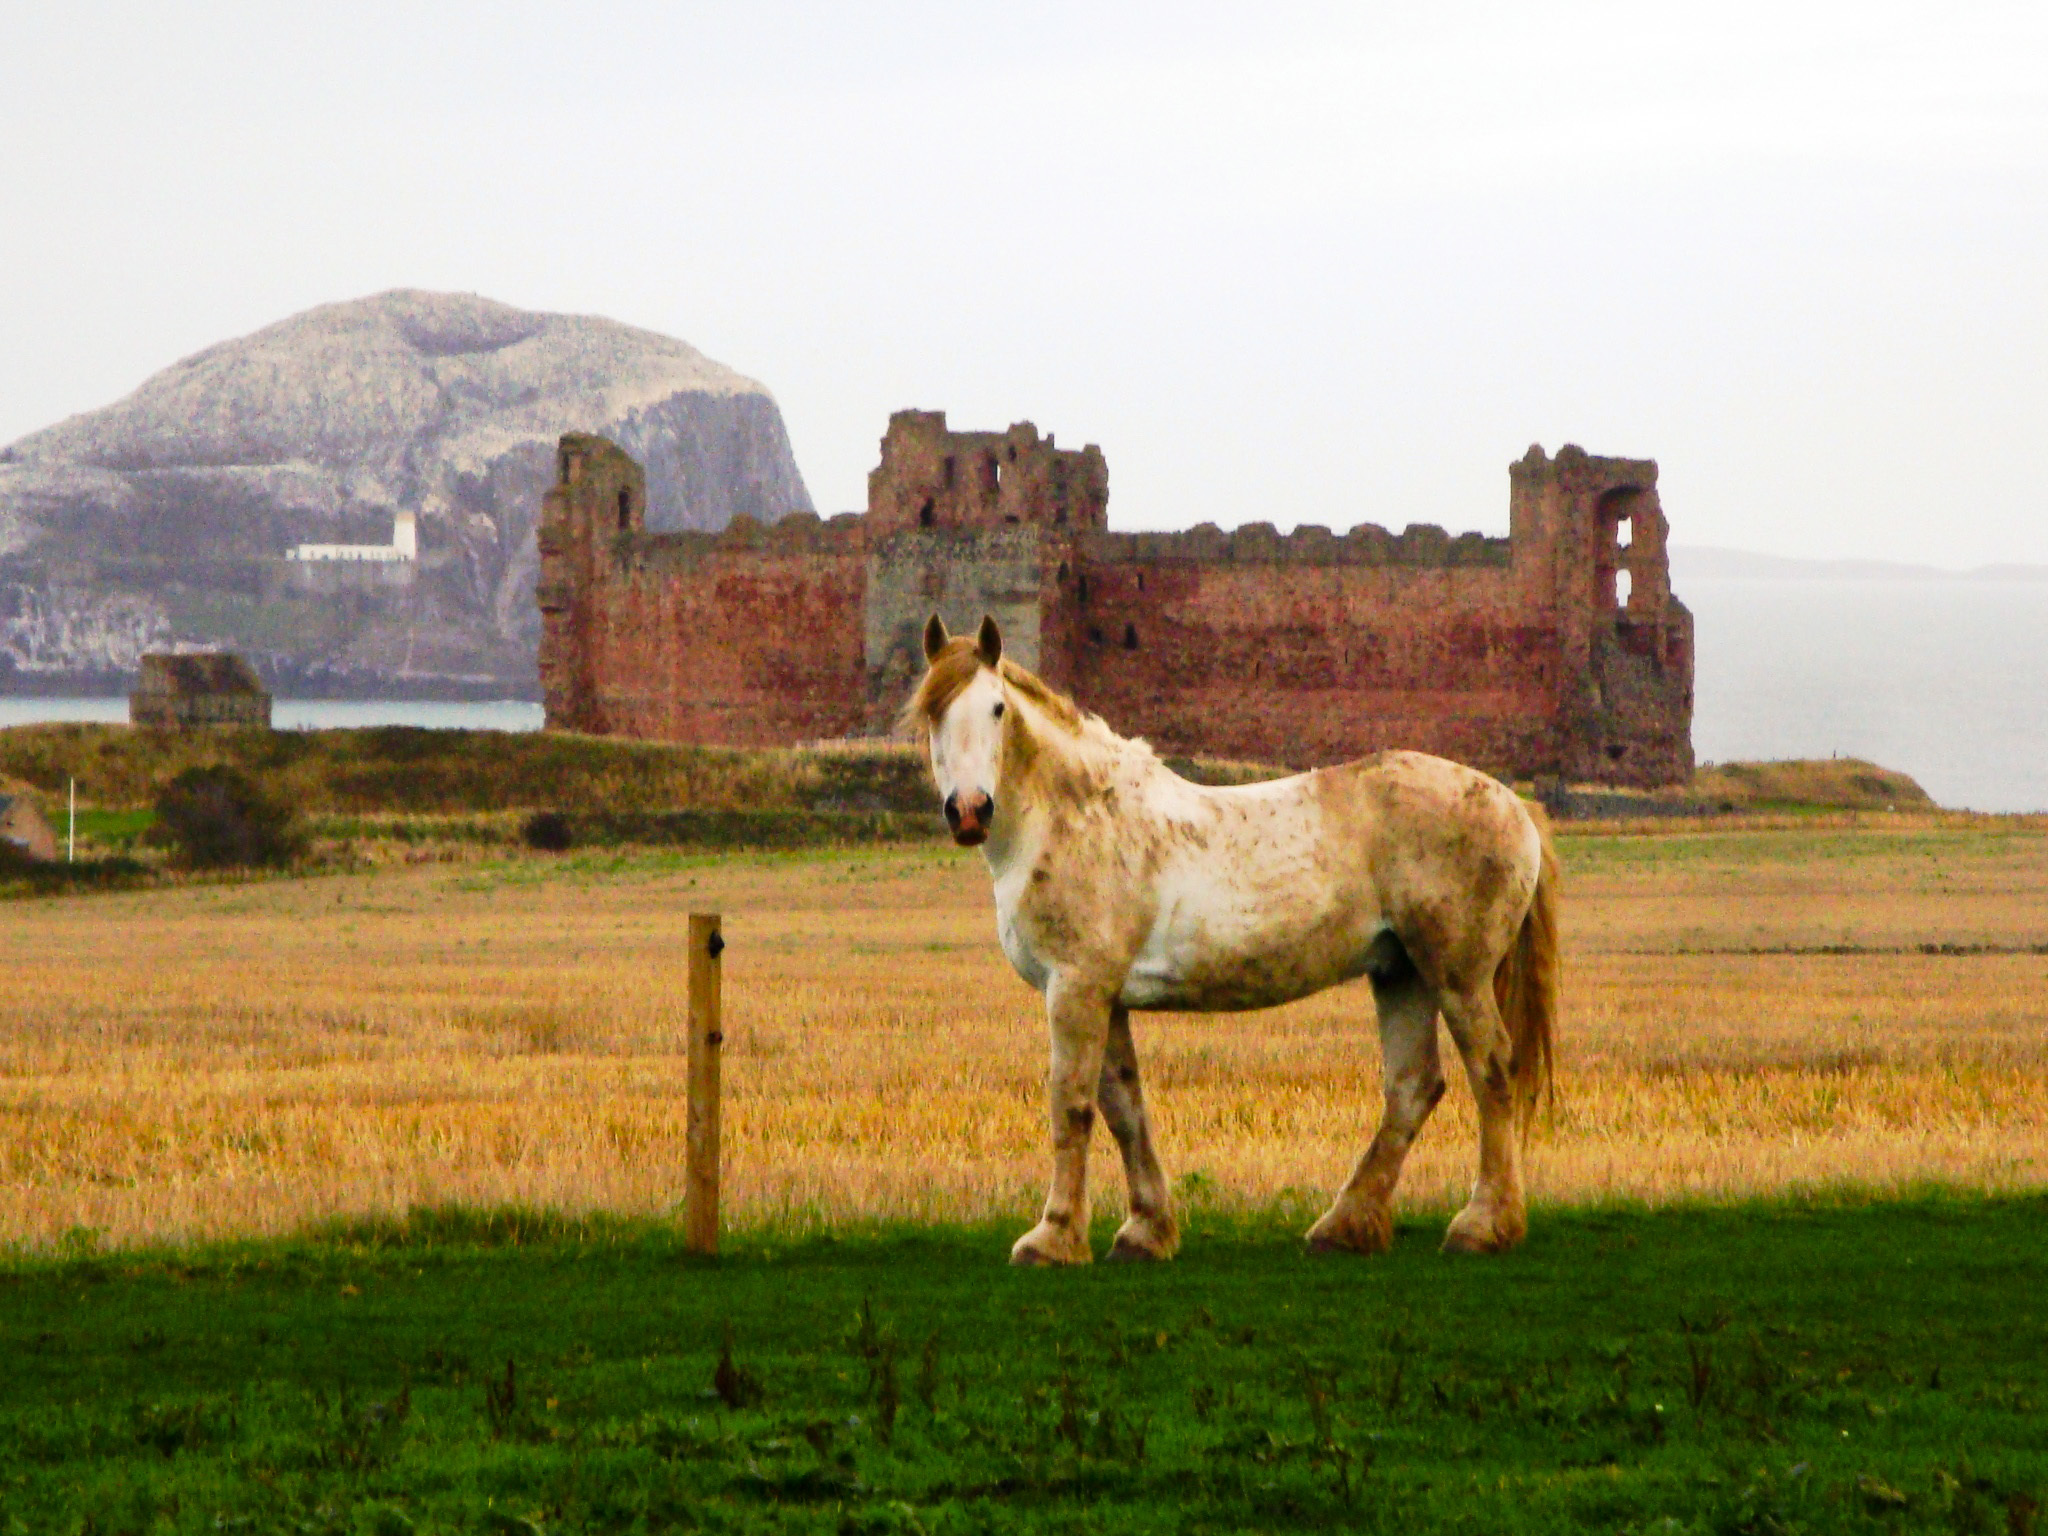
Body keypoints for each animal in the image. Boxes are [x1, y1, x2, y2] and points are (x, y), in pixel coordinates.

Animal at [905, 618, 1556, 1269]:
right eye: (934, 713)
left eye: (996, 708)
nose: (970, 811)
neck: (1078, 817)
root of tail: (1514, 805)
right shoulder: (1106, 997)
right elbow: (1124, 1108)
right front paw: (1145, 1231)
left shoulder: (1075, 989)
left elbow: (1072, 1106)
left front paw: (1053, 1236)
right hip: (1401, 973)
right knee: (1412, 1087)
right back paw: (1344, 1226)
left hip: (1457, 977)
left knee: (1492, 1074)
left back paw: (1482, 1224)